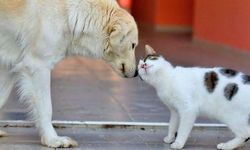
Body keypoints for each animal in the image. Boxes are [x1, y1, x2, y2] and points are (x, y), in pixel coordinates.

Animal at [0, 0, 139, 148]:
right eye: (133, 45)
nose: (137, 73)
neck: (70, 13)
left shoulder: (9, 65)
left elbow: (2, 96)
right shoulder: (38, 66)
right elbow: (45, 108)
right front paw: (53, 140)